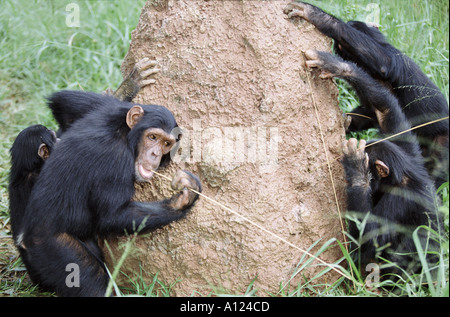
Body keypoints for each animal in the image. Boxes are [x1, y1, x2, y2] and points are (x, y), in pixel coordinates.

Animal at [14, 90, 201, 296]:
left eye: (166, 143)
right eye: (152, 137)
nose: (155, 154)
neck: (126, 133)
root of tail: (23, 238)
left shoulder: (106, 108)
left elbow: (65, 102)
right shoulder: (116, 158)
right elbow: (112, 215)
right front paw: (184, 199)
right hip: (51, 247)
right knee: (87, 279)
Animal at [284, 0, 448, 185]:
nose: (339, 49)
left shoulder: (391, 57)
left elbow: (384, 62)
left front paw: (317, 16)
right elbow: (372, 109)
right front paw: (346, 121)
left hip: (442, 146)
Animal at [300, 49, 442, 276]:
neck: (400, 173)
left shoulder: (401, 199)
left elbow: (370, 237)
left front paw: (356, 166)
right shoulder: (408, 149)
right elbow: (385, 109)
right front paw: (336, 65)